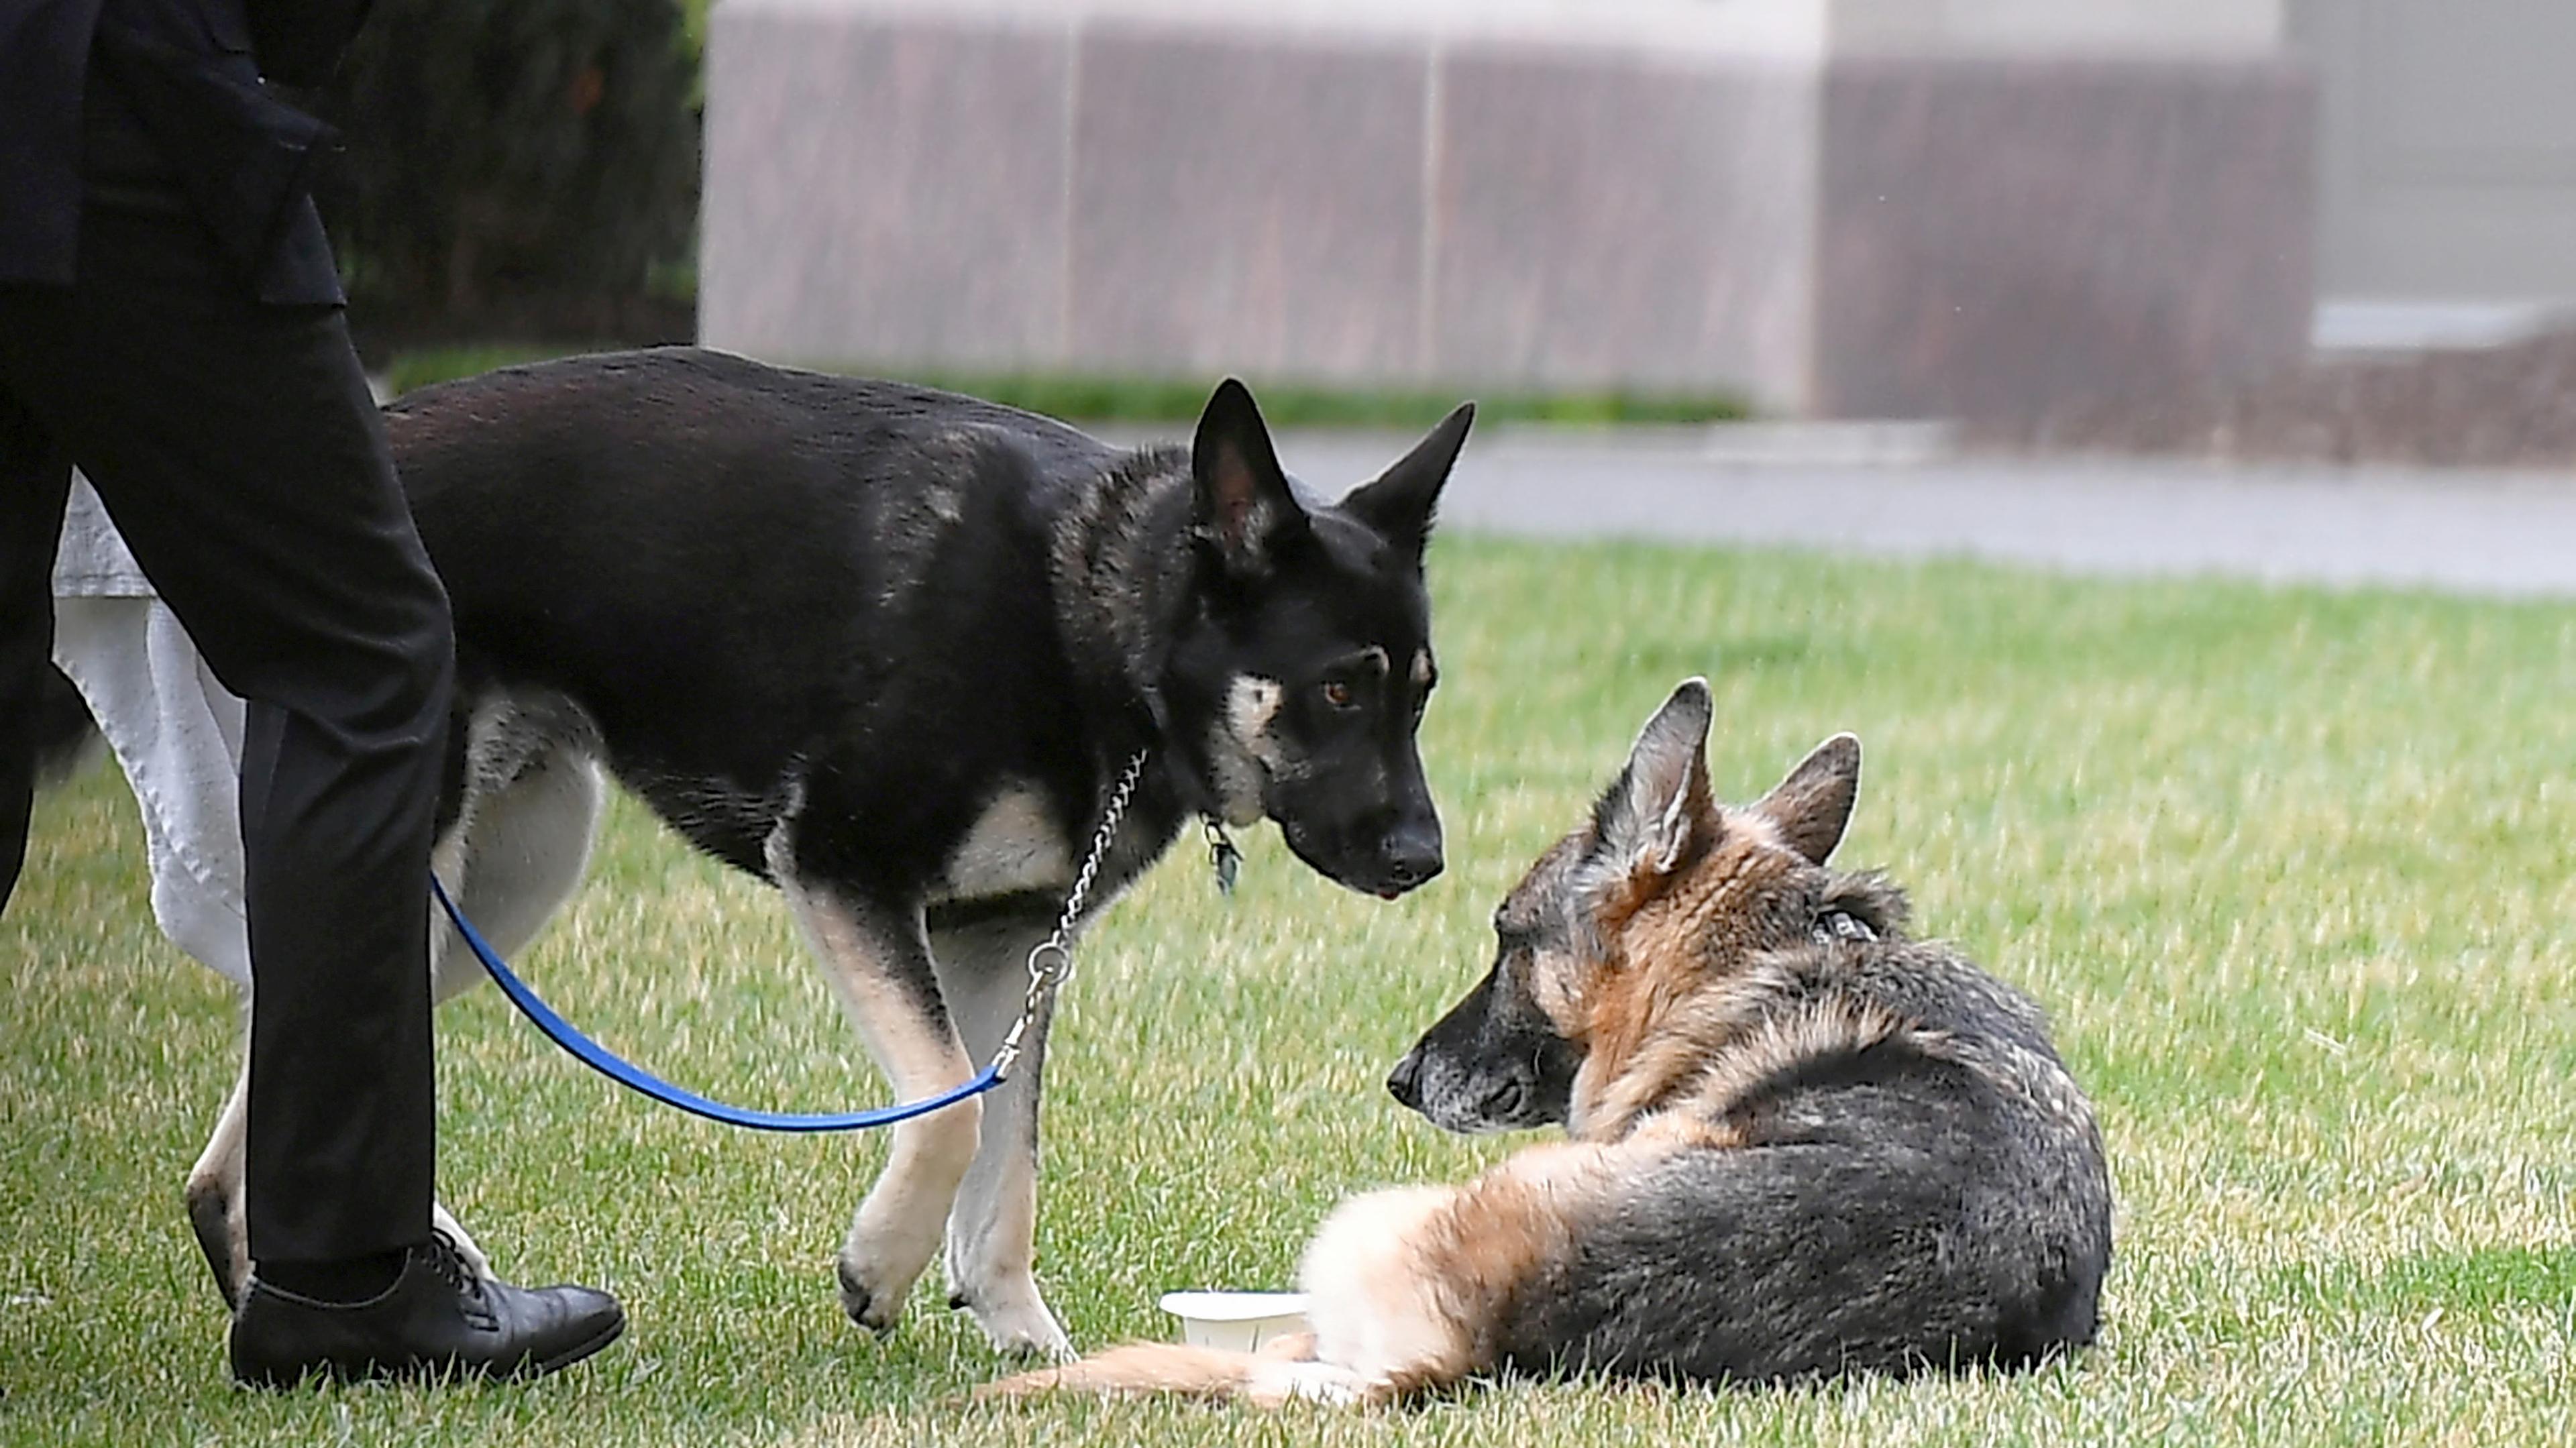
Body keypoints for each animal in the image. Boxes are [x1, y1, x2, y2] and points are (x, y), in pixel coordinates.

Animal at [176, 347, 1473, 1350]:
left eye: (1418, 693)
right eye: (1340, 688)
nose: (1427, 858)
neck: (1103, 632)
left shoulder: (1012, 943)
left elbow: (1007, 1158)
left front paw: (1027, 1339)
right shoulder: (845, 865)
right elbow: (950, 1116)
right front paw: (881, 1264)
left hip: (504, 875)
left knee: (238, 1136)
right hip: (433, 852)